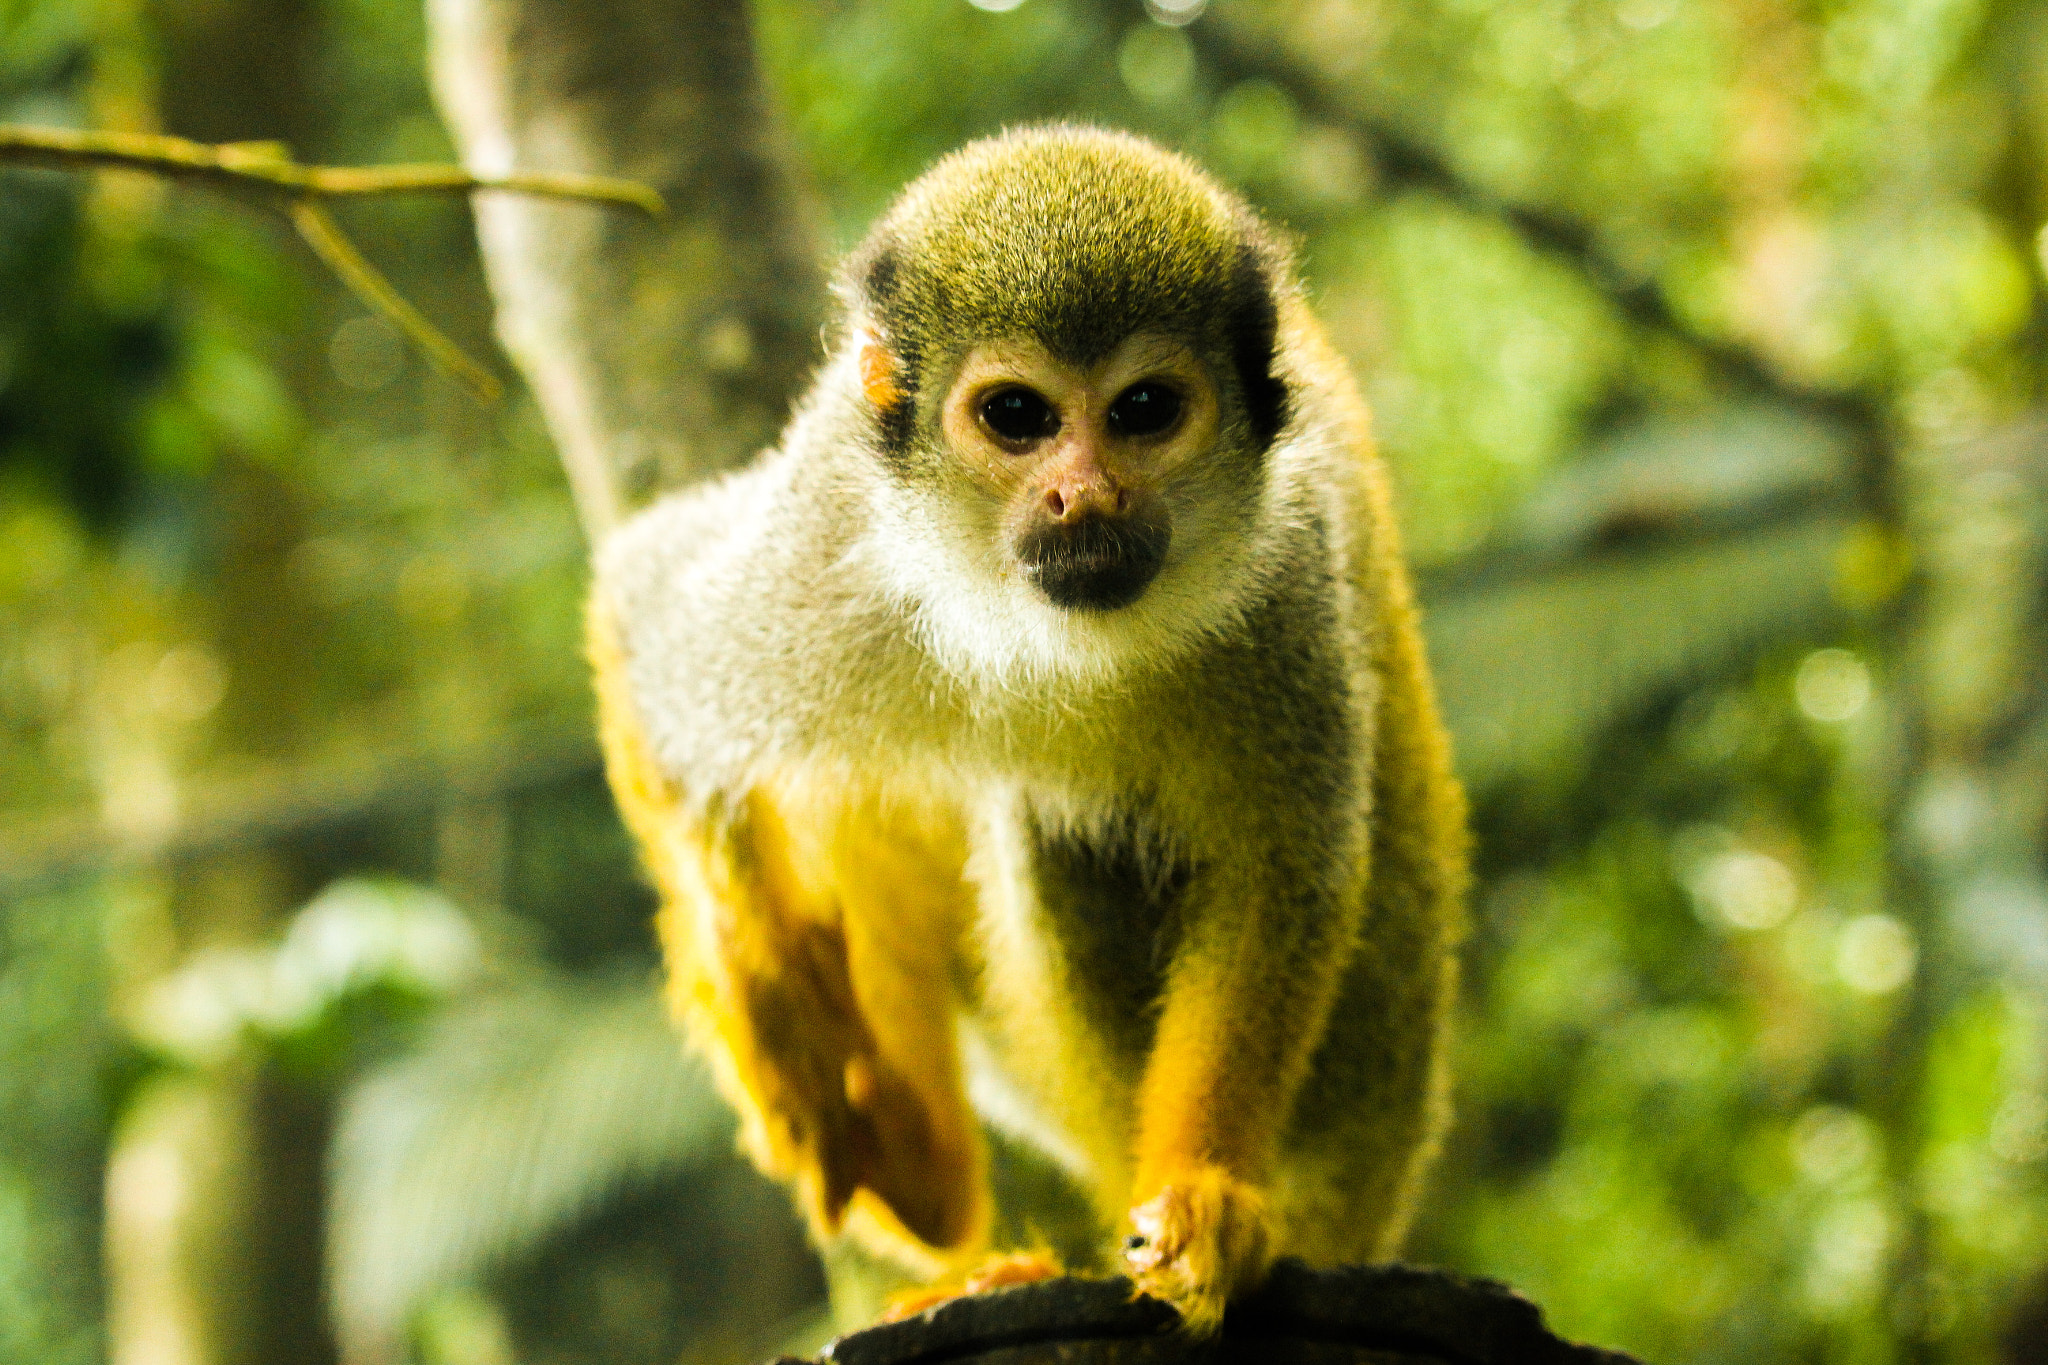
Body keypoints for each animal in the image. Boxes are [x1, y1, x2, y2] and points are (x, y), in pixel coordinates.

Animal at [586, 125, 1468, 1335]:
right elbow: (640, 615)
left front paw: (1196, 1195)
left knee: (1059, 829)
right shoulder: (826, 518)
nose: (1083, 498)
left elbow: (1280, 872)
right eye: (1017, 417)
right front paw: (771, 995)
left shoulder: (1287, 566)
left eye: (1143, 411)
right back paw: (921, 1175)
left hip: (1351, 1096)